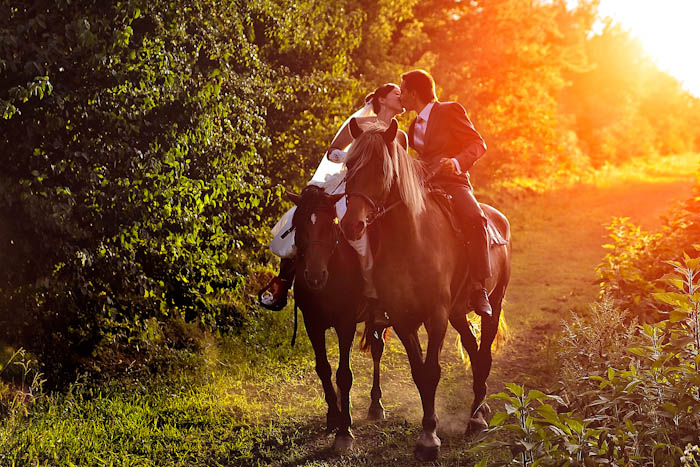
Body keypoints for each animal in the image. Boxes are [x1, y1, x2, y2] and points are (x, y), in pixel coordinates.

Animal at [288, 186, 392, 454]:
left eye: (331, 225)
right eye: (299, 225)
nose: (315, 276)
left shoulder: (346, 323)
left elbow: (344, 374)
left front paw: (344, 433)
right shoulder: (313, 324)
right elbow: (323, 369)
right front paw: (333, 416)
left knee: (377, 349)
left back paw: (376, 405)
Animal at [340, 119, 512, 460]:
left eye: (381, 168)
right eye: (350, 164)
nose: (352, 225)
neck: (411, 240)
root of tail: (499, 218)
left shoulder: (436, 316)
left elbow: (432, 371)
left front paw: (430, 439)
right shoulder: (403, 319)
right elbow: (419, 373)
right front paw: (426, 432)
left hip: (493, 302)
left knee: (484, 354)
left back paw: (476, 418)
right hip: (458, 312)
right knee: (474, 351)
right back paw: (480, 407)